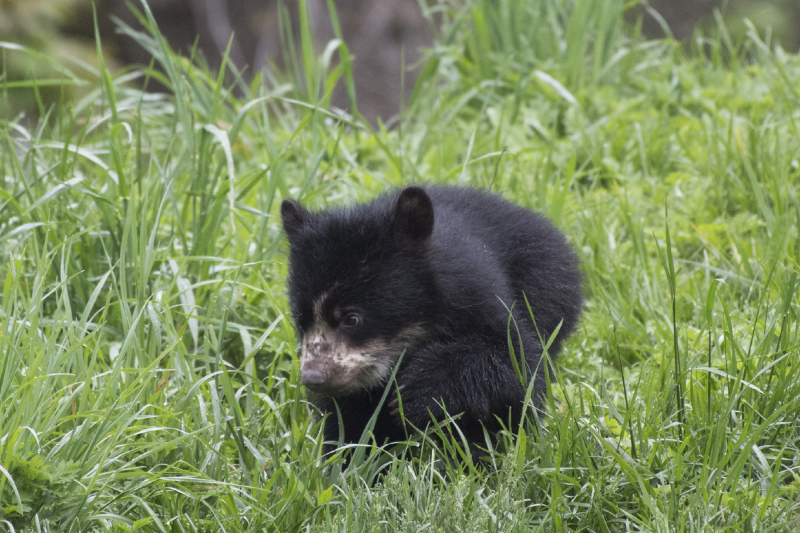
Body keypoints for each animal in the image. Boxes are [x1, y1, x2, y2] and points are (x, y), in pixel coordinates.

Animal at [281, 185, 583, 453]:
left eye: (352, 319)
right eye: (301, 319)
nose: (313, 377)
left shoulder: (479, 295)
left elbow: (517, 363)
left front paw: (415, 393)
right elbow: (350, 419)